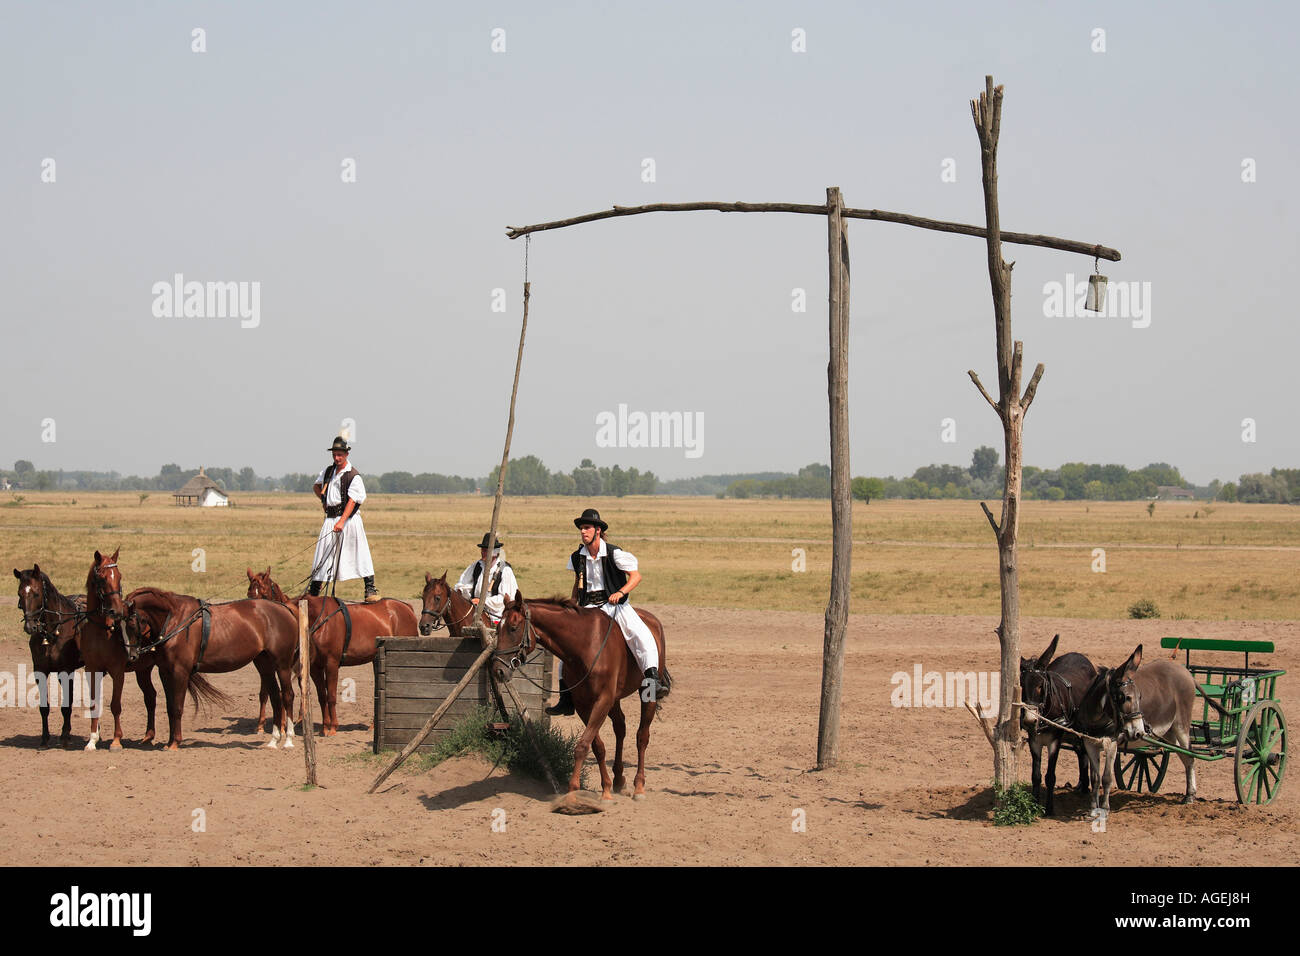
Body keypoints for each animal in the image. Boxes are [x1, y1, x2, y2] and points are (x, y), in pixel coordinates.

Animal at [13, 567, 86, 749]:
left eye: (37, 593)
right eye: (19, 593)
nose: (30, 626)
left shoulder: (65, 671)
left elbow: (67, 705)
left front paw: (65, 737)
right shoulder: (40, 671)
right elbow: (44, 707)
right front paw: (44, 739)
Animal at [78, 548, 158, 749]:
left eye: (119, 576)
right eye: (102, 578)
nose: (117, 610)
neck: (102, 631)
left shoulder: (117, 672)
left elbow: (115, 705)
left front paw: (116, 740)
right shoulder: (92, 670)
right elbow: (94, 704)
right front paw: (92, 739)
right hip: (143, 670)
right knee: (150, 696)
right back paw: (148, 735)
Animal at [121, 587, 295, 749]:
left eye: (131, 622)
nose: (131, 656)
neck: (176, 620)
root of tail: (284, 609)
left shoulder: (180, 672)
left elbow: (177, 707)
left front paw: (175, 742)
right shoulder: (165, 672)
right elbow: (170, 708)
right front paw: (169, 742)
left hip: (282, 665)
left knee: (287, 696)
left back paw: (288, 740)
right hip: (264, 665)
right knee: (275, 697)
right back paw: (274, 740)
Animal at [245, 572, 418, 738]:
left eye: (264, 592)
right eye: (248, 594)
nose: (255, 618)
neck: (316, 619)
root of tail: (406, 607)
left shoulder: (331, 664)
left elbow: (331, 696)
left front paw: (333, 727)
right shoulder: (314, 667)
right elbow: (321, 696)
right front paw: (324, 727)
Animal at [491, 590, 665, 806]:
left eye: (513, 628)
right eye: (497, 630)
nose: (497, 670)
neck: (585, 645)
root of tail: (652, 620)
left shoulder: (602, 701)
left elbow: (582, 745)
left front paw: (574, 791)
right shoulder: (584, 704)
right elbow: (596, 746)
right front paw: (606, 787)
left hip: (646, 694)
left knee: (642, 737)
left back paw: (639, 786)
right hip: (614, 701)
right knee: (620, 727)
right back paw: (618, 779)